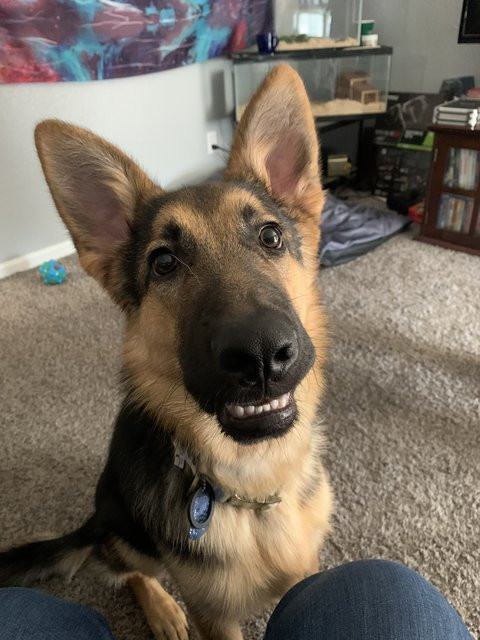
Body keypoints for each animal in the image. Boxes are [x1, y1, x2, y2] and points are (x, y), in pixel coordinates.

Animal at [0, 64, 332, 640]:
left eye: (270, 237)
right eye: (164, 263)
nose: (261, 354)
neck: (254, 489)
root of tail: (95, 517)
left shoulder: (306, 575)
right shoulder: (215, 618)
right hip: (129, 531)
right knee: (122, 567)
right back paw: (160, 609)